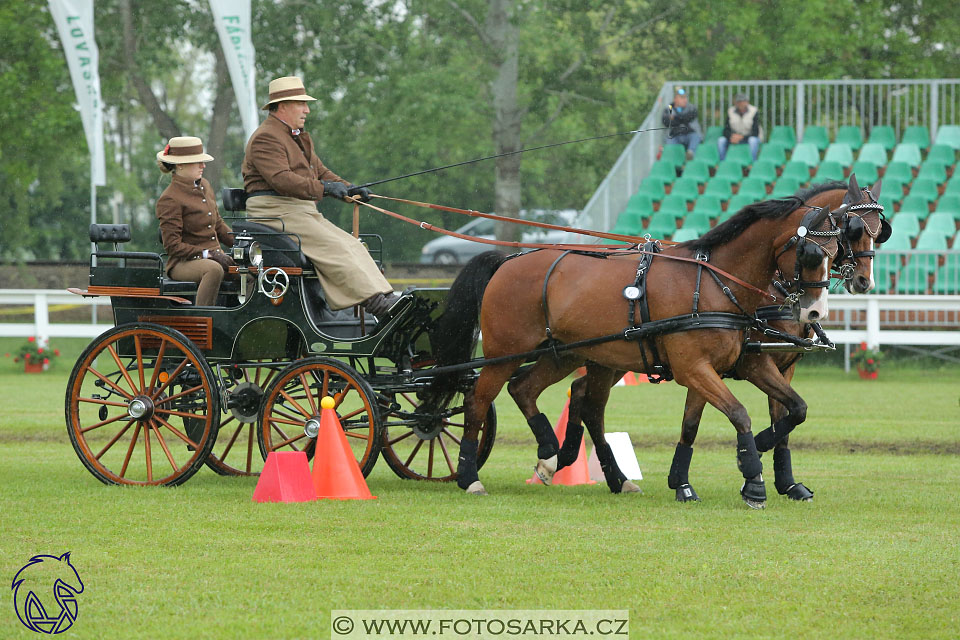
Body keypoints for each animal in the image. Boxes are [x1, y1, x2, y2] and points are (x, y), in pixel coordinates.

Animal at [428, 190, 840, 504]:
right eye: (812, 254)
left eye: (836, 253)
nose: (815, 311)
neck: (712, 283)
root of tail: (508, 260)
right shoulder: (695, 368)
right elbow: (739, 413)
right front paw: (752, 477)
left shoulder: (742, 364)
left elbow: (793, 408)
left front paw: (747, 460)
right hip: (504, 353)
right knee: (478, 402)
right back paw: (469, 475)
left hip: (571, 354)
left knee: (538, 392)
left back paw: (560, 455)